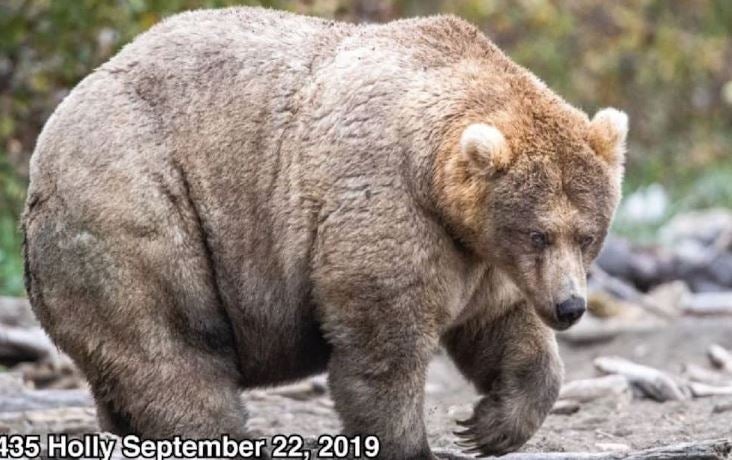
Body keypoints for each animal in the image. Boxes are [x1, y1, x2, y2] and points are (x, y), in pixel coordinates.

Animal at [21, 7, 627, 459]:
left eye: (587, 235)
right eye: (538, 234)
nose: (571, 306)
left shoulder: (480, 254)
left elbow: (503, 327)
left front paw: (489, 425)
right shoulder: (387, 203)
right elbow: (383, 343)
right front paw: (412, 443)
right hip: (138, 203)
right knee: (170, 346)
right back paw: (222, 434)